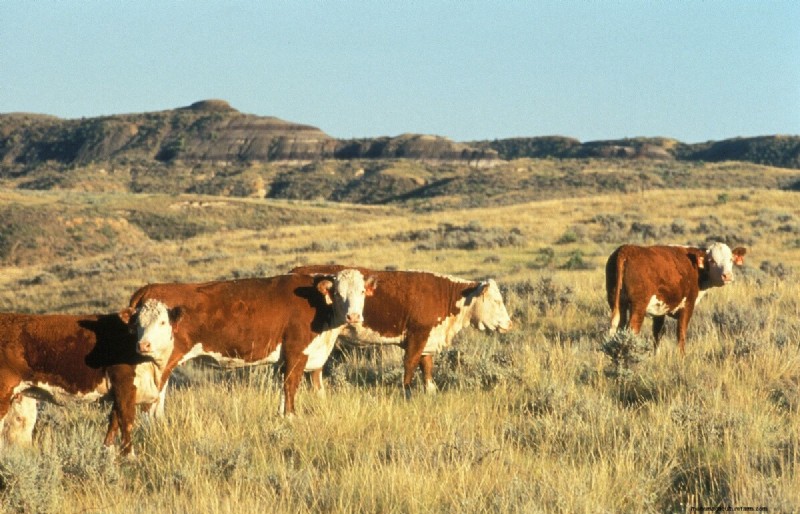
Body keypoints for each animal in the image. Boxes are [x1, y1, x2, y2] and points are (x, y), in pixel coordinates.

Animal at [0, 299, 180, 455]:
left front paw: (107, 451)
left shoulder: (118, 391)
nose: (143, 345)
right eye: (137, 324)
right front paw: (129, 455)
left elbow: (114, 421)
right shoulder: (124, 384)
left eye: (163, 322)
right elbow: (126, 419)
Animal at [127, 269, 376, 417]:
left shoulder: (285, 359)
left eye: (362, 291)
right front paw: (291, 417)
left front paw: (281, 416)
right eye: (338, 293)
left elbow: (282, 390)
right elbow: (290, 386)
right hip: (160, 358)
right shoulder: (296, 351)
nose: (353, 316)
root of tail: (149, 288)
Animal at [290, 265, 513, 398]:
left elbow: (427, 365)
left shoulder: (428, 340)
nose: (509, 324)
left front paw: (430, 390)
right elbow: (410, 364)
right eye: (497, 301)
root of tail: (298, 270)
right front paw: (407, 392)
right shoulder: (417, 335)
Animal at [605, 242, 747, 354]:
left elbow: (657, 333)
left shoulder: (660, 310)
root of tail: (625, 249)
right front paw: (682, 357)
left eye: (730, 259)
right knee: (632, 330)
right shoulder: (688, 305)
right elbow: (681, 333)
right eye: (712, 260)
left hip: (616, 302)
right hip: (638, 306)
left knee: (619, 328)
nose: (727, 276)